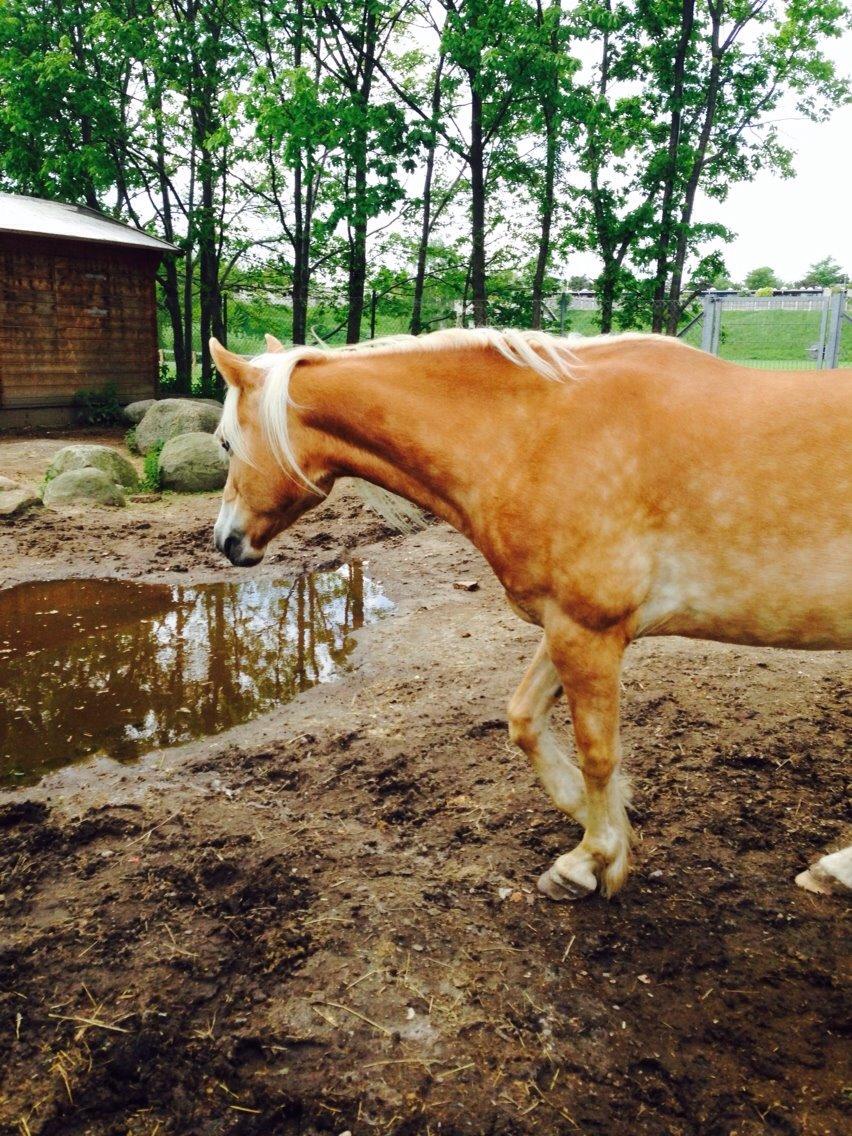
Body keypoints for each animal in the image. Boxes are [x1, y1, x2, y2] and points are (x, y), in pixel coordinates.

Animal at [209, 324, 852, 899]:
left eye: (224, 443)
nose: (226, 542)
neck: (537, 436)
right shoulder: (564, 625)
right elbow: (524, 719)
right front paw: (603, 817)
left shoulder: (588, 632)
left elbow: (598, 752)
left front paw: (590, 860)